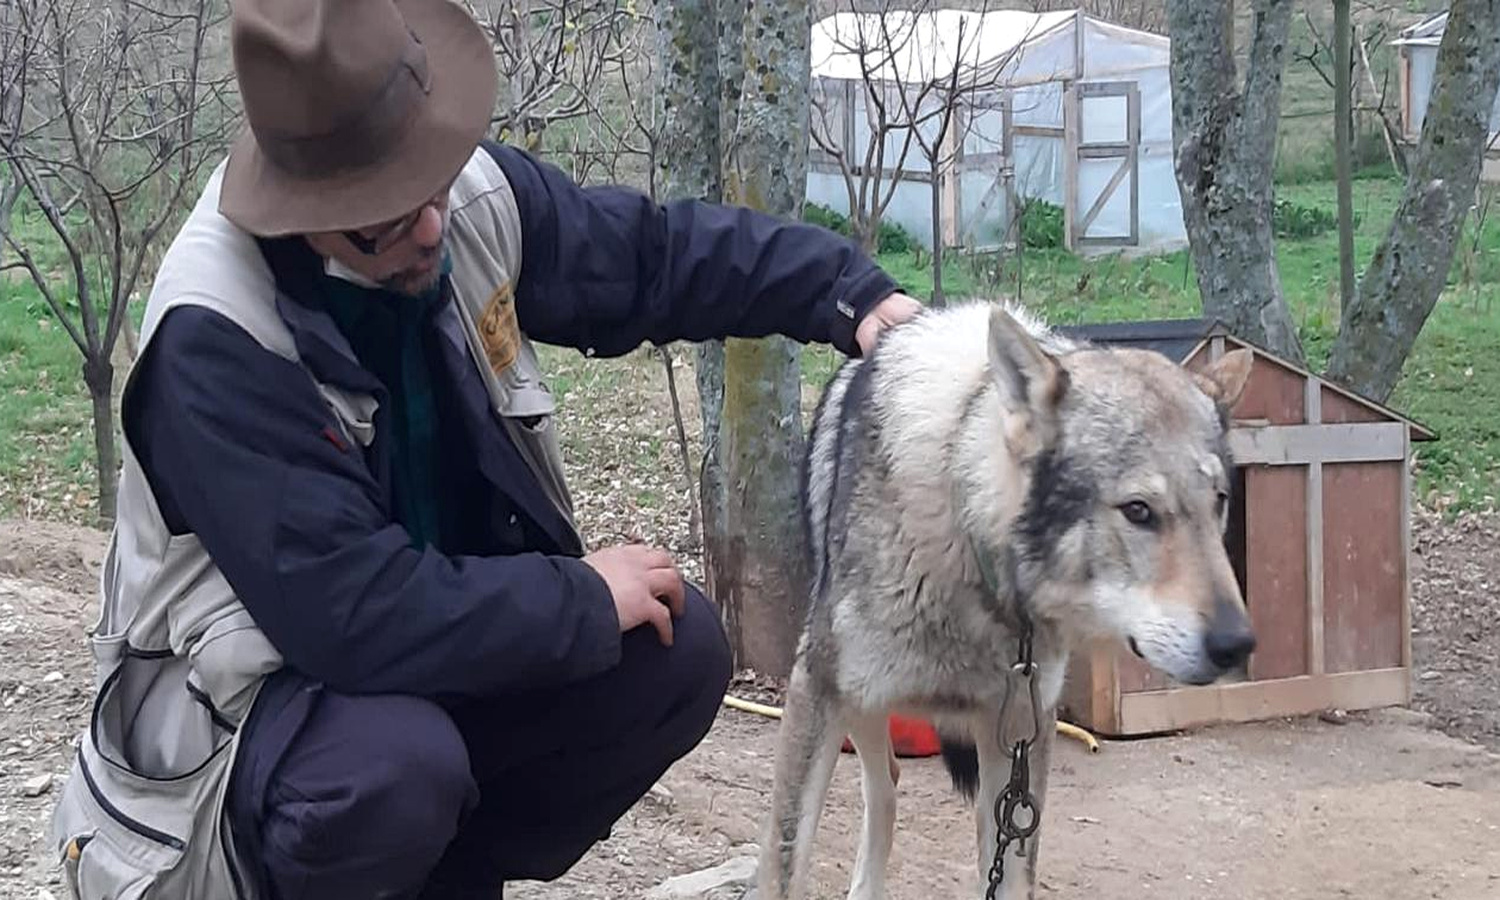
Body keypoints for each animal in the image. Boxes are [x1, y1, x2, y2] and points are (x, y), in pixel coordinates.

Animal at [757, 299, 1257, 900]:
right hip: (861, 704)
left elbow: (1012, 875)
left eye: (1220, 502)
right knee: (885, 787)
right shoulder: (816, 690)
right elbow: (784, 864)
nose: (1237, 644)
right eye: (1139, 510)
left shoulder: (1021, 732)